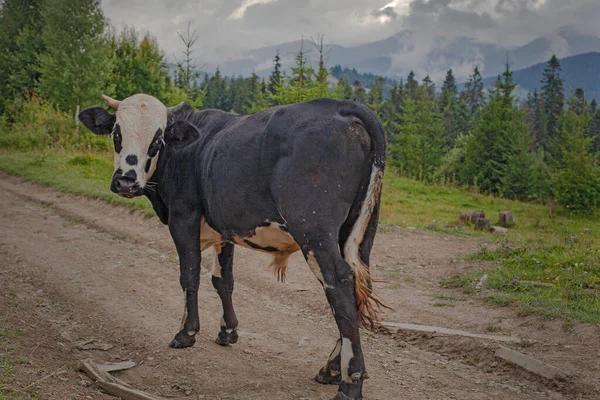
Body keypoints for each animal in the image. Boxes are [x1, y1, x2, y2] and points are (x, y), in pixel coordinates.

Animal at [77, 94, 386, 400]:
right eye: (117, 133)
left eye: (158, 140)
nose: (126, 181)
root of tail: (342, 105)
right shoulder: (224, 229)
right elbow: (222, 280)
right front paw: (228, 331)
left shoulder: (183, 218)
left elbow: (190, 275)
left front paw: (187, 333)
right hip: (359, 232)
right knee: (359, 286)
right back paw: (332, 368)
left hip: (314, 230)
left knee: (339, 285)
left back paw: (349, 383)